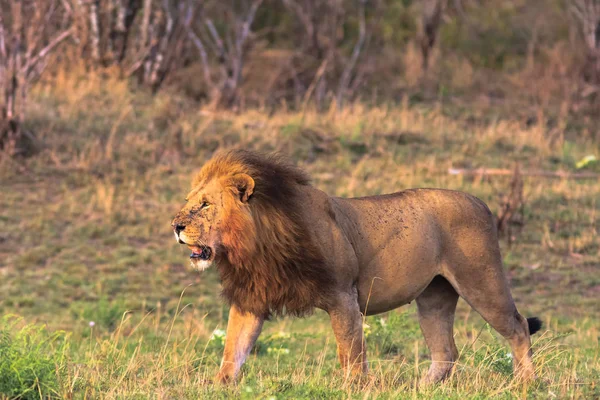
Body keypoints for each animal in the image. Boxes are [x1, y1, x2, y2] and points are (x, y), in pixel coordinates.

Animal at [171, 149, 540, 384]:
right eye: (189, 203)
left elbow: (350, 352)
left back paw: (525, 384)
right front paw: (219, 385)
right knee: (446, 350)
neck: (256, 245)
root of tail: (481, 202)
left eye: (205, 205)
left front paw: (354, 388)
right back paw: (422, 388)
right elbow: (234, 349)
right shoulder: (252, 299)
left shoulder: (342, 296)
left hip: (482, 283)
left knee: (519, 327)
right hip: (435, 297)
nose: (175, 225)